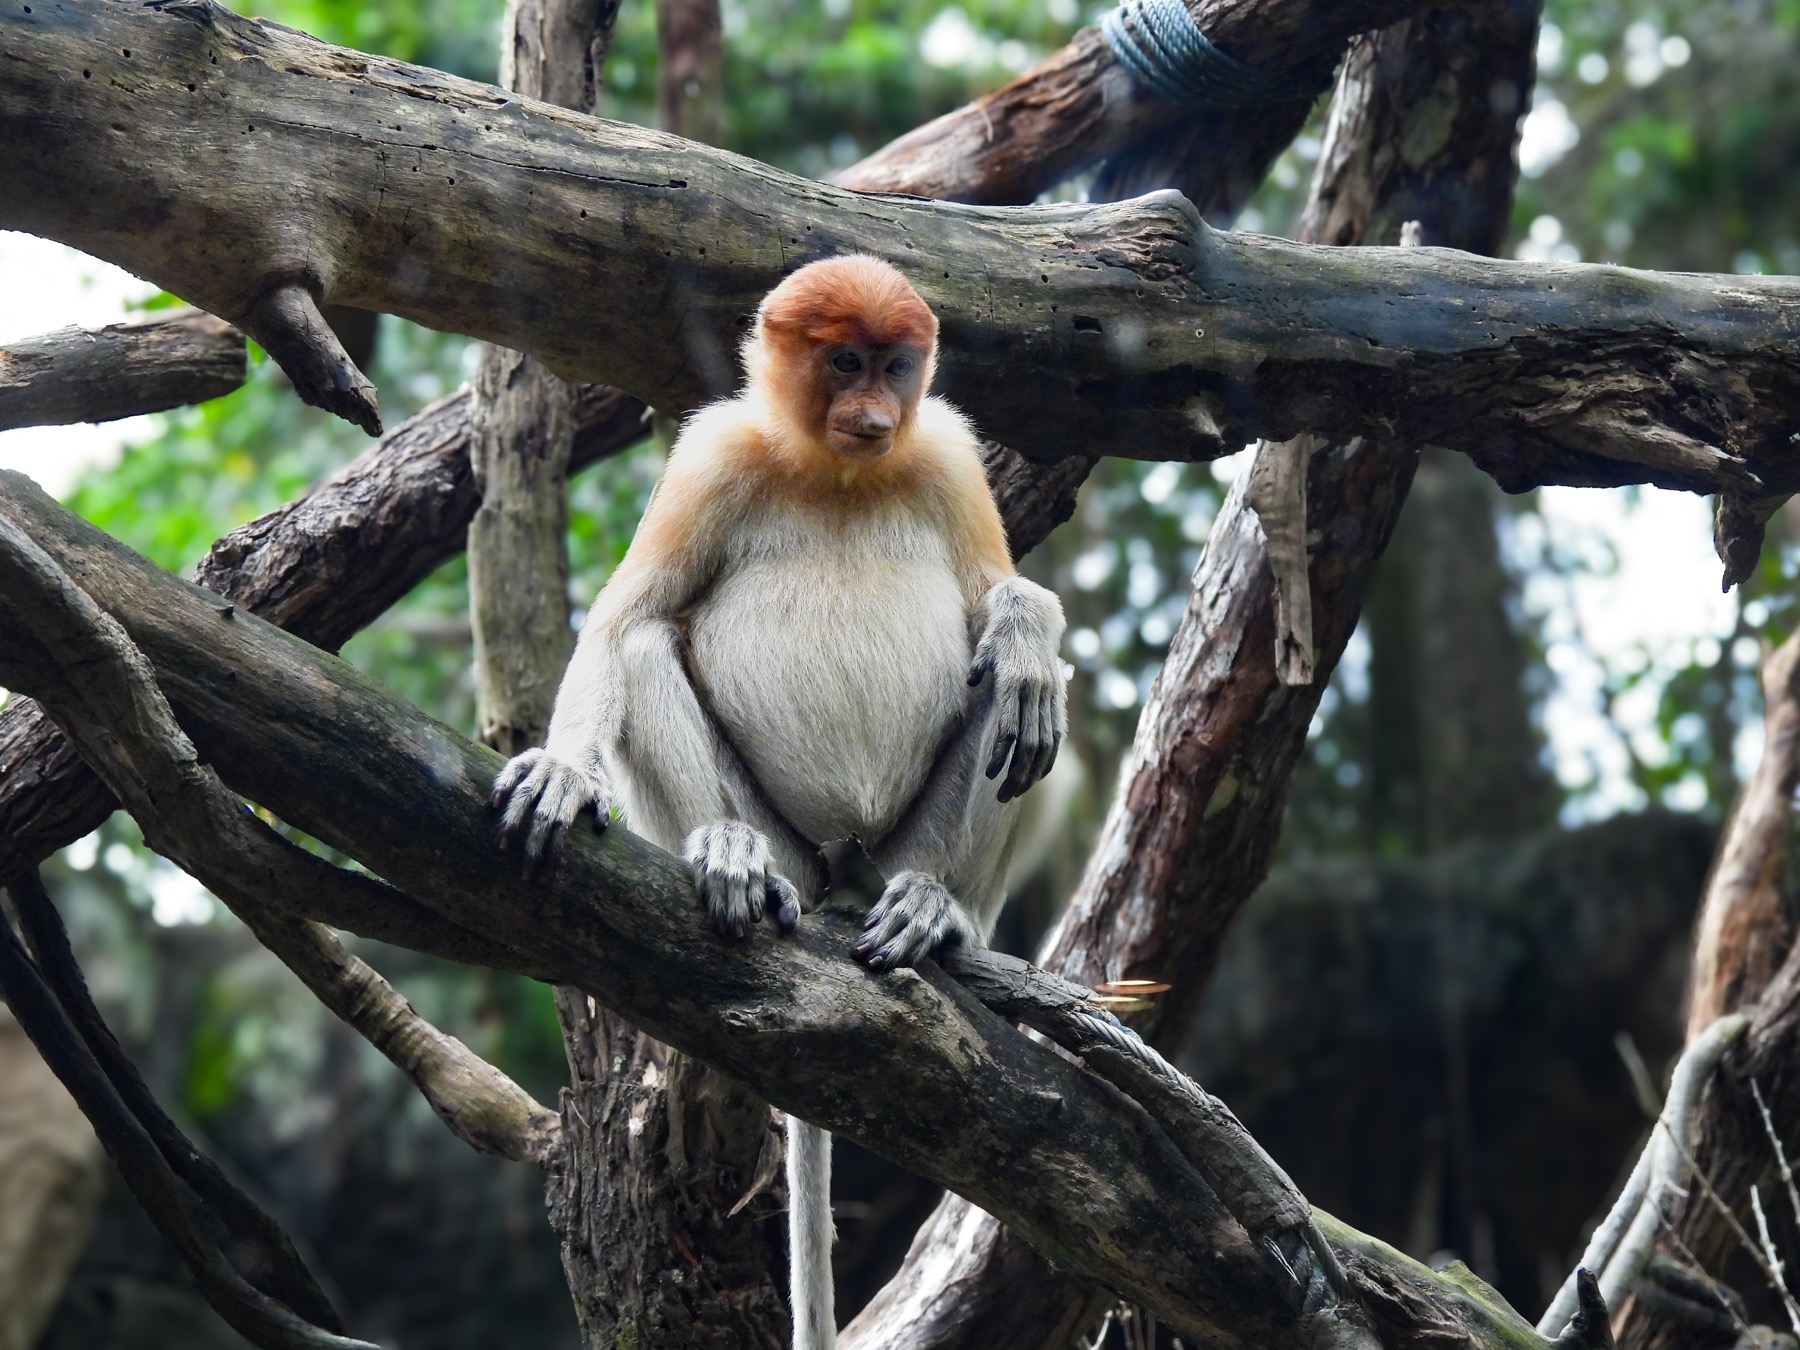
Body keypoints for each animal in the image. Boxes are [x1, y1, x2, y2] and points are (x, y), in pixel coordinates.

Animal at [490, 254, 1066, 1350]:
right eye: (843, 362)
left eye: (894, 363)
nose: (876, 414)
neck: (837, 471)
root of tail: (839, 867)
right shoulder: (709, 458)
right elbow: (622, 619)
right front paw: (565, 774)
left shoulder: (949, 452)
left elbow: (997, 600)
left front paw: (1023, 625)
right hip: (788, 841)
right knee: (647, 642)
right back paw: (732, 855)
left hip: (898, 847)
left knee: (1025, 707)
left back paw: (937, 909)